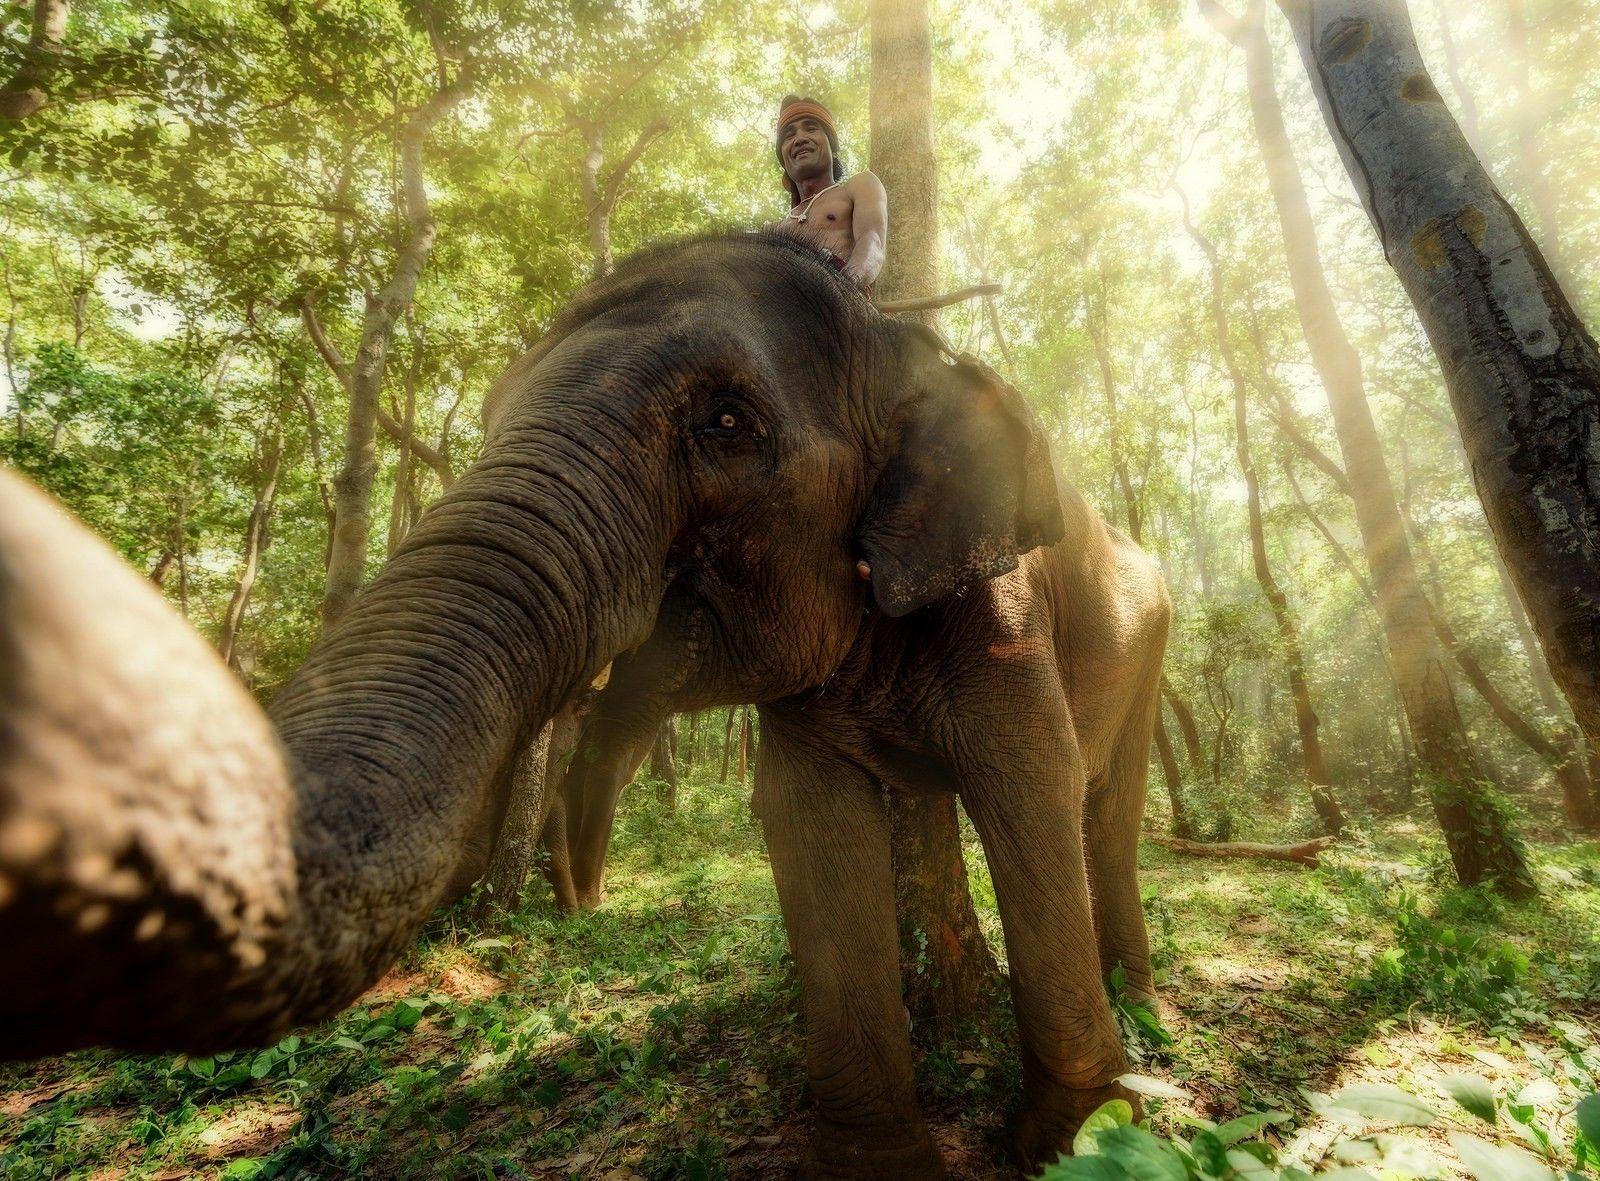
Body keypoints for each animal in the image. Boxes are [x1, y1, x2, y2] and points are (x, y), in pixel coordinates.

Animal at [0, 231, 1169, 1178]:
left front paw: (1071, 1140)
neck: (901, 340)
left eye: (727, 421)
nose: (580, 888)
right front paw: (882, 1164)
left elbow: (1027, 789)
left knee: (1102, 809)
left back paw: (1140, 997)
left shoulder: (1004, 613)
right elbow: (810, 825)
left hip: (1151, 644)